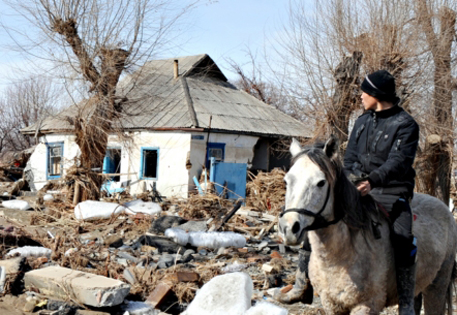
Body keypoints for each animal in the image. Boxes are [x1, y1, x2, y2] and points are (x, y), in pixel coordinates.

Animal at [276, 138, 454, 315]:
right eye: (286, 181)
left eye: (321, 183)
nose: (288, 229)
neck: (340, 255)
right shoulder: (331, 304)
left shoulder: (366, 305)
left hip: (437, 285)